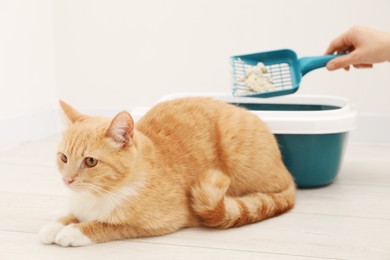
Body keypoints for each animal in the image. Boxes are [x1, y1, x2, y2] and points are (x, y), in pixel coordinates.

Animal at [40, 97, 296, 246]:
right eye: (63, 158)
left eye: (90, 161)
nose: (67, 180)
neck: (100, 195)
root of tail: (288, 173)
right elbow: (70, 215)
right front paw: (55, 225)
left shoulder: (160, 223)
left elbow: (108, 225)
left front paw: (74, 231)